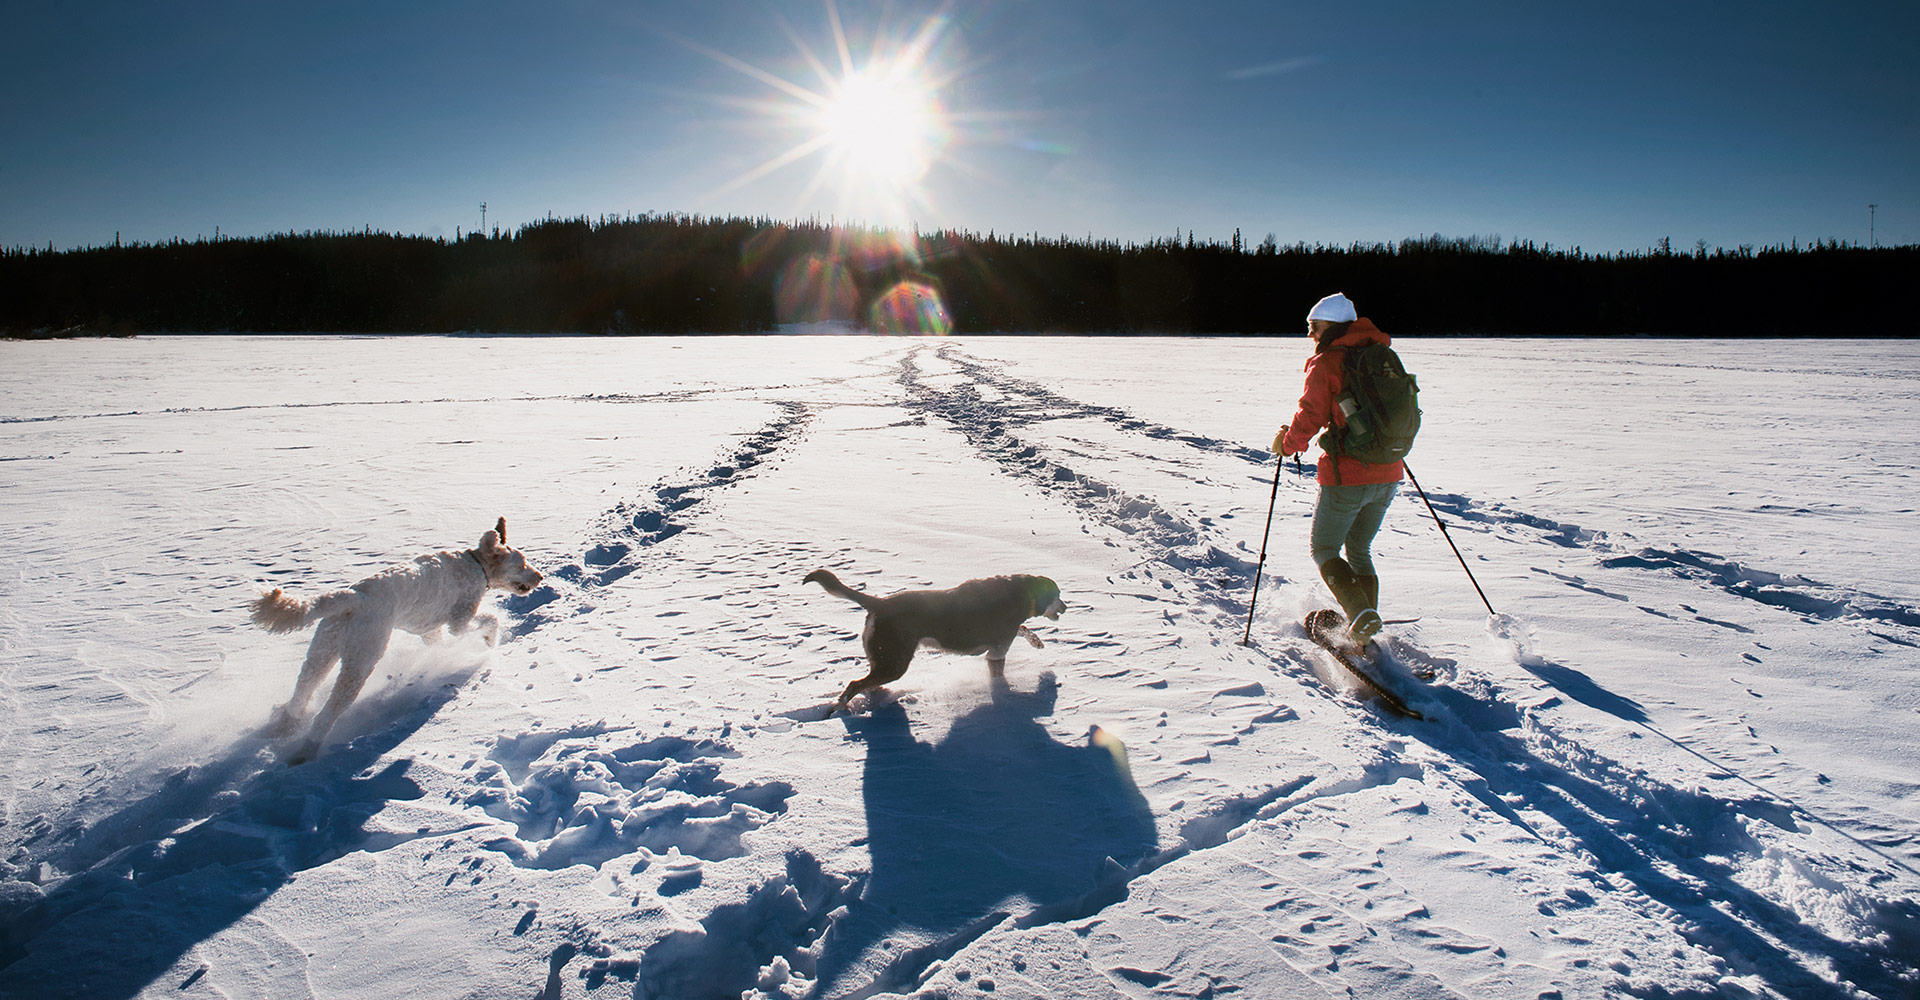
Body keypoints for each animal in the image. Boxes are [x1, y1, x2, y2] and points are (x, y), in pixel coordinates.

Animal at [798, 564, 1067, 714]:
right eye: (1057, 595)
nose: (1066, 607)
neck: (1021, 593)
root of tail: (879, 603)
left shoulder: (1002, 640)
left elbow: (1023, 629)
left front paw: (1037, 641)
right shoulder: (998, 650)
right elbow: (1000, 677)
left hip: (885, 661)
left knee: (866, 683)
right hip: (894, 663)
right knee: (854, 685)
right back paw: (841, 710)